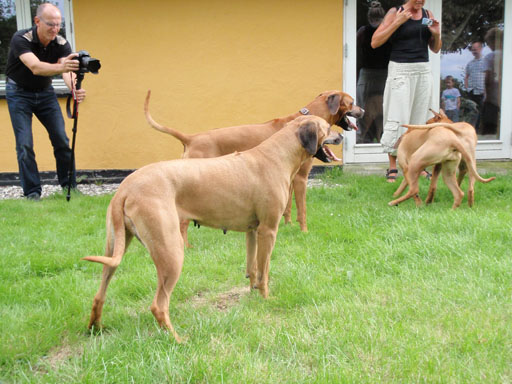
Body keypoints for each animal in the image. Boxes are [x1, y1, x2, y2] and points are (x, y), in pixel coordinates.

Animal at [83, 115, 340, 342]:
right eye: (328, 127)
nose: (341, 136)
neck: (278, 154)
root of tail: (126, 187)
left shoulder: (253, 231)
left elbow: (253, 267)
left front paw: (253, 292)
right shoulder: (268, 230)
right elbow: (265, 271)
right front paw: (266, 298)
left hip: (115, 248)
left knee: (99, 294)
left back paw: (95, 328)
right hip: (171, 252)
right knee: (158, 305)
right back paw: (177, 339)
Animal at [142, 90, 362, 246]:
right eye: (352, 102)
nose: (364, 111)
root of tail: (192, 138)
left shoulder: (288, 179)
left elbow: (288, 208)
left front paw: (288, 226)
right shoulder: (301, 178)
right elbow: (303, 210)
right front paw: (304, 231)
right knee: (183, 224)